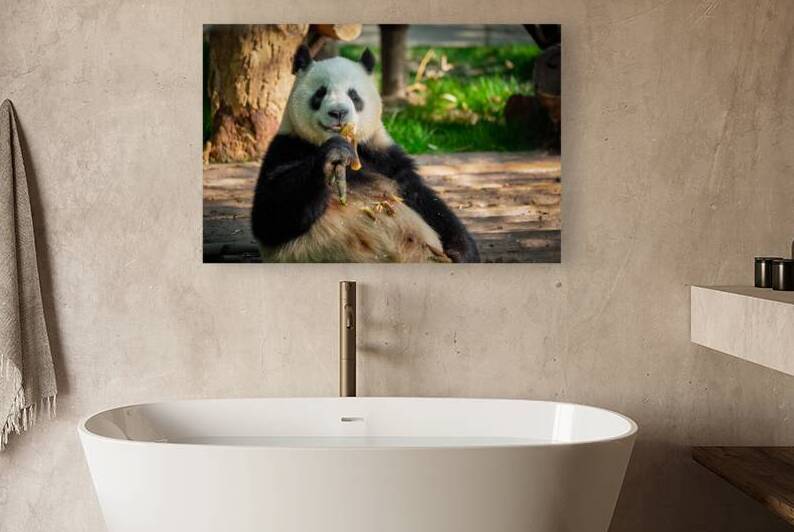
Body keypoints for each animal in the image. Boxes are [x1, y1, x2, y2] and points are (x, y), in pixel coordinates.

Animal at [251, 45, 480, 263]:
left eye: (354, 95)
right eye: (320, 93)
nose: (338, 112)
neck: (353, 148)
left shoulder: (384, 157)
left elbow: (422, 198)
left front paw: (463, 251)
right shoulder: (287, 147)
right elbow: (269, 216)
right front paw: (332, 155)